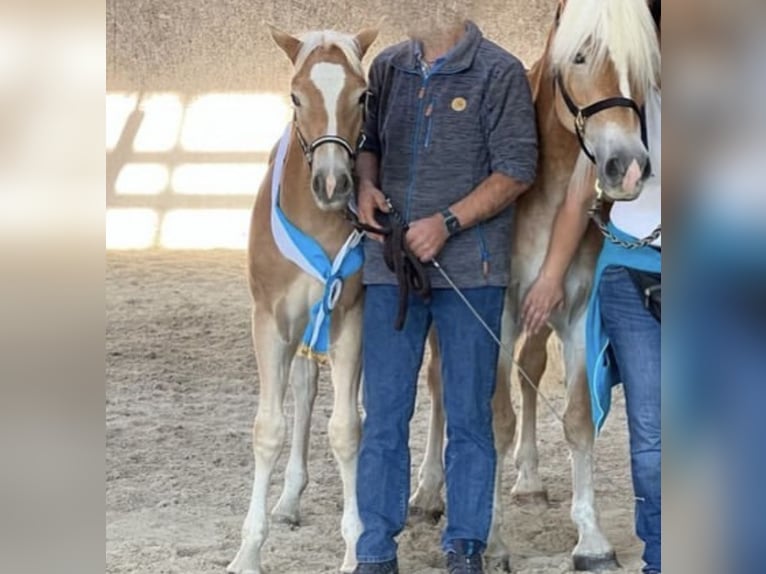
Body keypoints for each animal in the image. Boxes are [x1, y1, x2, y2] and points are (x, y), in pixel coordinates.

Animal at [226, 24, 380, 574]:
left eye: (363, 96)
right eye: (295, 96)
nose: (332, 183)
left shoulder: (352, 319)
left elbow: (347, 431)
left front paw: (356, 548)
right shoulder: (271, 322)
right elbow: (269, 428)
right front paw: (248, 550)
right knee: (304, 388)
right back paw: (290, 499)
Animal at [412, 0, 664, 572]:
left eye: (645, 69)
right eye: (581, 57)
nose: (629, 168)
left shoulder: (575, 313)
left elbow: (577, 418)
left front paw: (591, 541)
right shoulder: (496, 315)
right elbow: (494, 421)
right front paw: (493, 541)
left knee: (528, 371)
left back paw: (527, 480)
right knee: (440, 386)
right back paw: (429, 492)